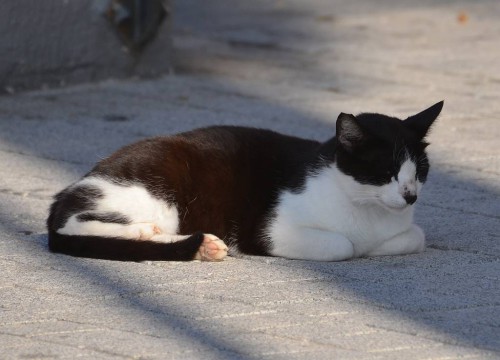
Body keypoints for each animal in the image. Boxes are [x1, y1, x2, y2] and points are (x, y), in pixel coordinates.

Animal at [47, 100, 442, 262]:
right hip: (155, 190)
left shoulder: (405, 229)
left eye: (420, 171)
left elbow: (415, 236)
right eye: (386, 172)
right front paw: (357, 246)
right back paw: (150, 233)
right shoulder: (270, 231)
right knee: (76, 223)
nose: (410, 196)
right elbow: (342, 245)